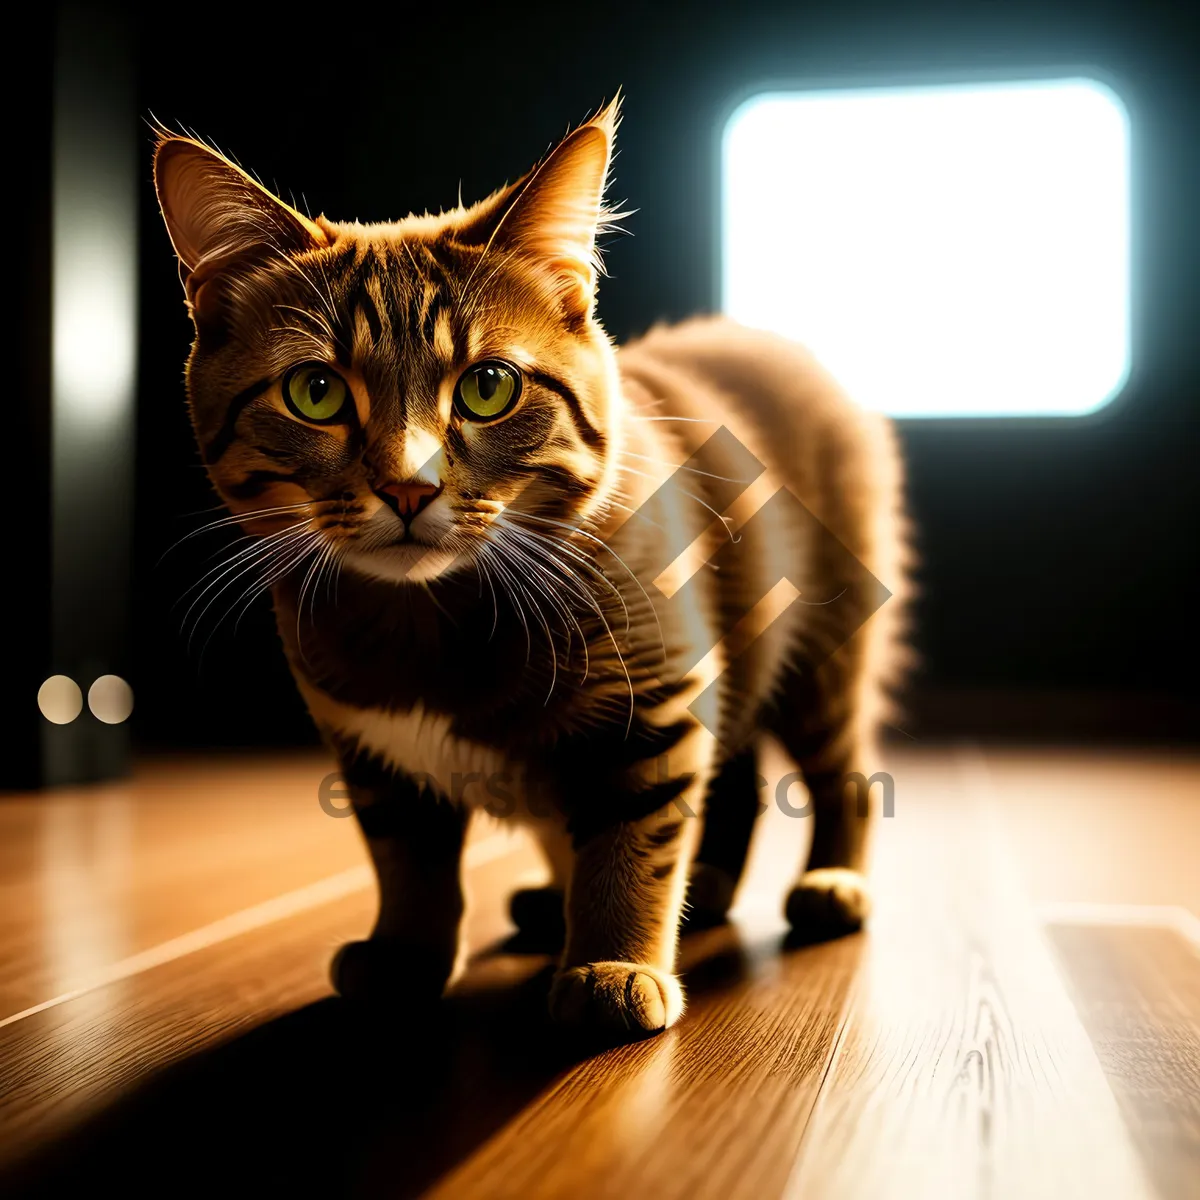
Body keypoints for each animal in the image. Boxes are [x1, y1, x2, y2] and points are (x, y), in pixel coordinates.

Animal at [157, 98, 907, 1036]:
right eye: (315, 393)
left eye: (489, 386)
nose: (408, 486)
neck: (429, 617)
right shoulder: (373, 751)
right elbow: (408, 863)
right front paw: (405, 955)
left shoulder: (657, 696)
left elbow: (632, 838)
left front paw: (614, 963)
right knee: (732, 780)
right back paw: (677, 889)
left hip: (825, 649)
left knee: (838, 772)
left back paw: (828, 882)